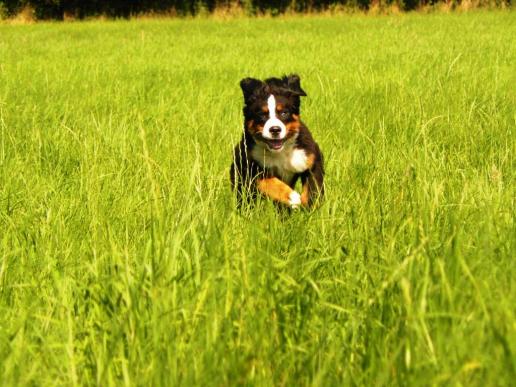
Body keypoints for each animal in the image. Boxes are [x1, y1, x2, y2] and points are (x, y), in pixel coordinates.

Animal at [231, 74, 324, 211]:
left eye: (284, 113)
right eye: (262, 115)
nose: (275, 129)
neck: (281, 152)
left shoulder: (311, 158)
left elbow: (313, 189)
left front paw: (310, 209)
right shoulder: (248, 167)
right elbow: (269, 182)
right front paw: (291, 197)